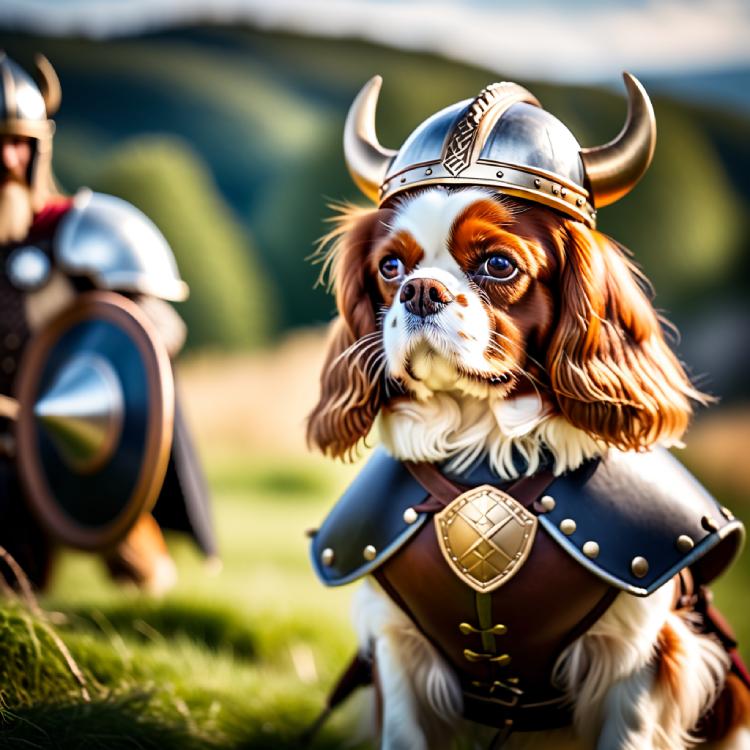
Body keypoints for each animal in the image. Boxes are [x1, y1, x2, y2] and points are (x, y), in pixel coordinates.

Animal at [306, 78, 750, 750]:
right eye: (390, 267)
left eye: (499, 264)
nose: (420, 291)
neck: (484, 445)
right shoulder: (397, 649)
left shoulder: (641, 657)